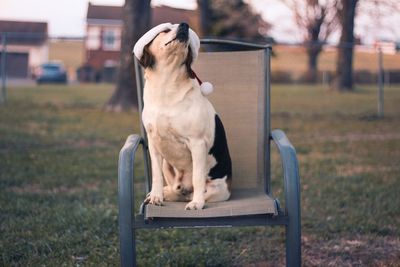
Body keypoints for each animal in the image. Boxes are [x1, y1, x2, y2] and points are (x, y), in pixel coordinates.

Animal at [134, 22, 231, 211]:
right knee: (176, 190)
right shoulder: (154, 143)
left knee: (195, 190)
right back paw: (166, 193)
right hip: (167, 163)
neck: (166, 84)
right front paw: (156, 196)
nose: (185, 25)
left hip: (217, 189)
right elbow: (156, 175)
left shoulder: (197, 143)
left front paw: (197, 203)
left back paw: (193, 198)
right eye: (165, 30)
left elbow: (198, 177)